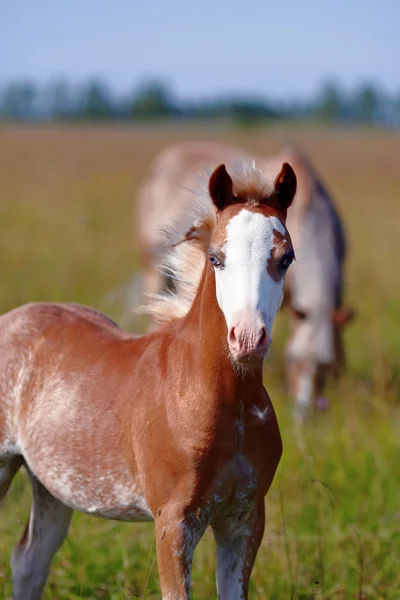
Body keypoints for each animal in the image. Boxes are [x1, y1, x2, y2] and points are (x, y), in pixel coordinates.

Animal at [0, 159, 296, 600]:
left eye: (287, 257)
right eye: (216, 257)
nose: (247, 339)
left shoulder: (244, 519)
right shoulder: (173, 520)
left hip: (49, 485)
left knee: (29, 563)